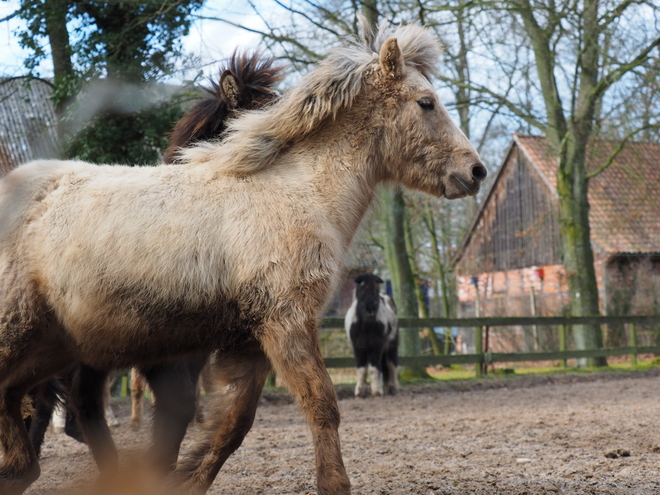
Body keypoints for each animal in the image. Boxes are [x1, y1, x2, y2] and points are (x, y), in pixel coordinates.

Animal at [0, 18, 484, 495]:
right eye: (426, 103)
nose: (475, 171)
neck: (297, 192)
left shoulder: (250, 339)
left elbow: (233, 424)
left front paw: (188, 479)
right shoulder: (286, 322)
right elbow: (321, 404)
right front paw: (334, 484)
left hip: (58, 346)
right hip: (26, 333)